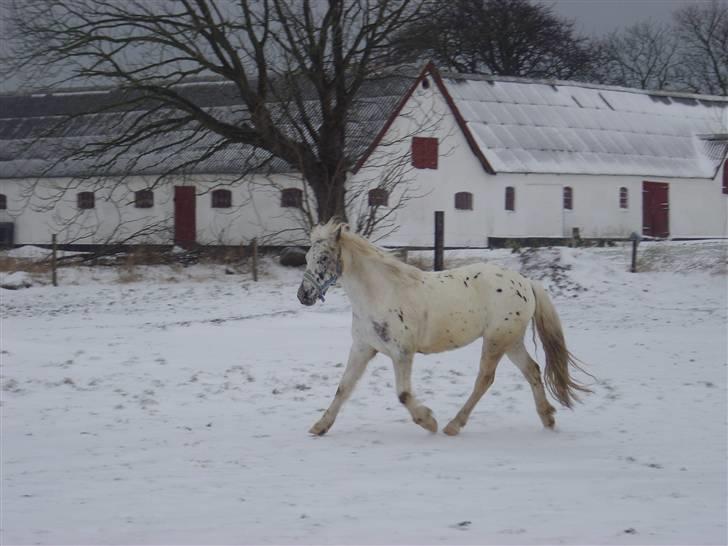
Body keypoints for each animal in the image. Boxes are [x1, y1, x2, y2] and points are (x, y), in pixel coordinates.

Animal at [296, 218, 592, 434]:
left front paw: (428, 421)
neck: (381, 293)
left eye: (323, 258)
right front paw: (320, 426)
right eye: (308, 257)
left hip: (496, 340)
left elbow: (403, 394)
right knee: (532, 370)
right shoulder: (363, 348)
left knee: (485, 379)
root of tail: (525, 282)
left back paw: (452, 425)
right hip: (511, 340)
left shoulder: (402, 352)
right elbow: (343, 387)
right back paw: (547, 417)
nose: (303, 295)